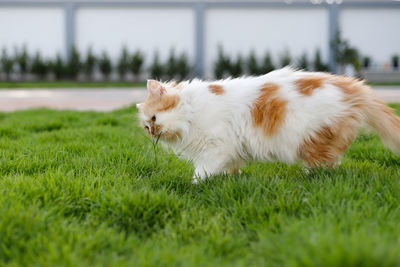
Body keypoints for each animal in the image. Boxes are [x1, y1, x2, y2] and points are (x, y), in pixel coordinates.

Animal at [137, 67, 400, 184]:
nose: (152, 132)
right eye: (147, 127)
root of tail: (352, 87)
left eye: (154, 119)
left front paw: (195, 185)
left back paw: (309, 177)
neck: (192, 112)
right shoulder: (230, 151)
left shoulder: (216, 147)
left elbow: (202, 171)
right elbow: (231, 168)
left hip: (313, 138)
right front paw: (231, 180)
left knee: (326, 165)